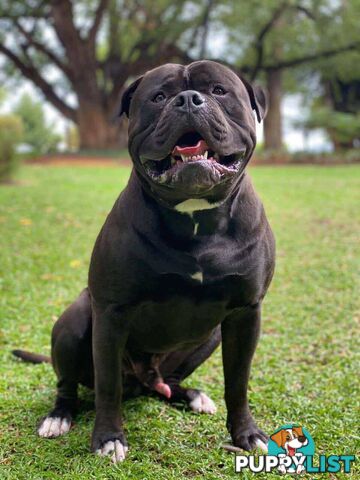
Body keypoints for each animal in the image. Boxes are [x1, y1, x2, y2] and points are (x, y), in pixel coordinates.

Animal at [12, 60, 274, 462]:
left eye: (218, 90)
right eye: (159, 97)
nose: (188, 99)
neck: (194, 216)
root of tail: (144, 378)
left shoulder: (246, 314)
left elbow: (238, 382)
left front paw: (246, 434)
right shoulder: (111, 312)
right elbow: (107, 386)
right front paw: (108, 438)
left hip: (210, 335)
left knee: (168, 382)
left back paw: (191, 396)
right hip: (75, 321)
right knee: (68, 384)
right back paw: (58, 417)